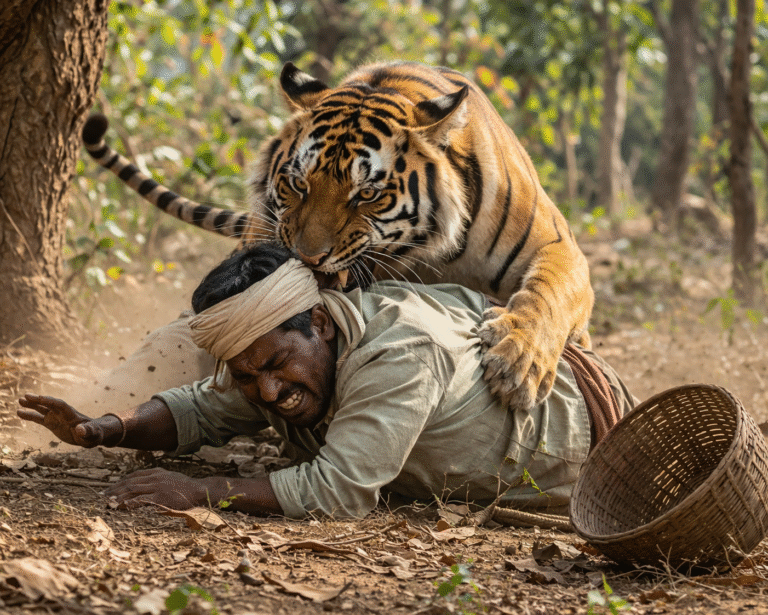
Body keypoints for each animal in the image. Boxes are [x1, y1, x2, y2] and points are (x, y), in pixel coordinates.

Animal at [81, 61, 593, 411]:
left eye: (366, 194)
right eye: (297, 184)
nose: (307, 258)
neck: (429, 250)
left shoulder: (558, 245)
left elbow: (550, 293)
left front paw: (518, 364)